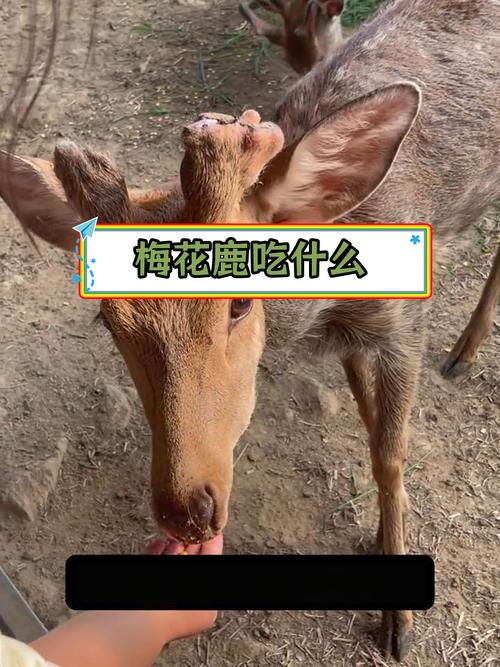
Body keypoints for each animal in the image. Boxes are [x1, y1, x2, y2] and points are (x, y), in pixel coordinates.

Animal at [1, 0, 499, 661]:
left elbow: (390, 453)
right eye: (106, 316)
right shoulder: (350, 340)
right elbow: (368, 418)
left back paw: (465, 352)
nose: (187, 510)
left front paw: (398, 624)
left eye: (240, 302)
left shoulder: (405, 322)